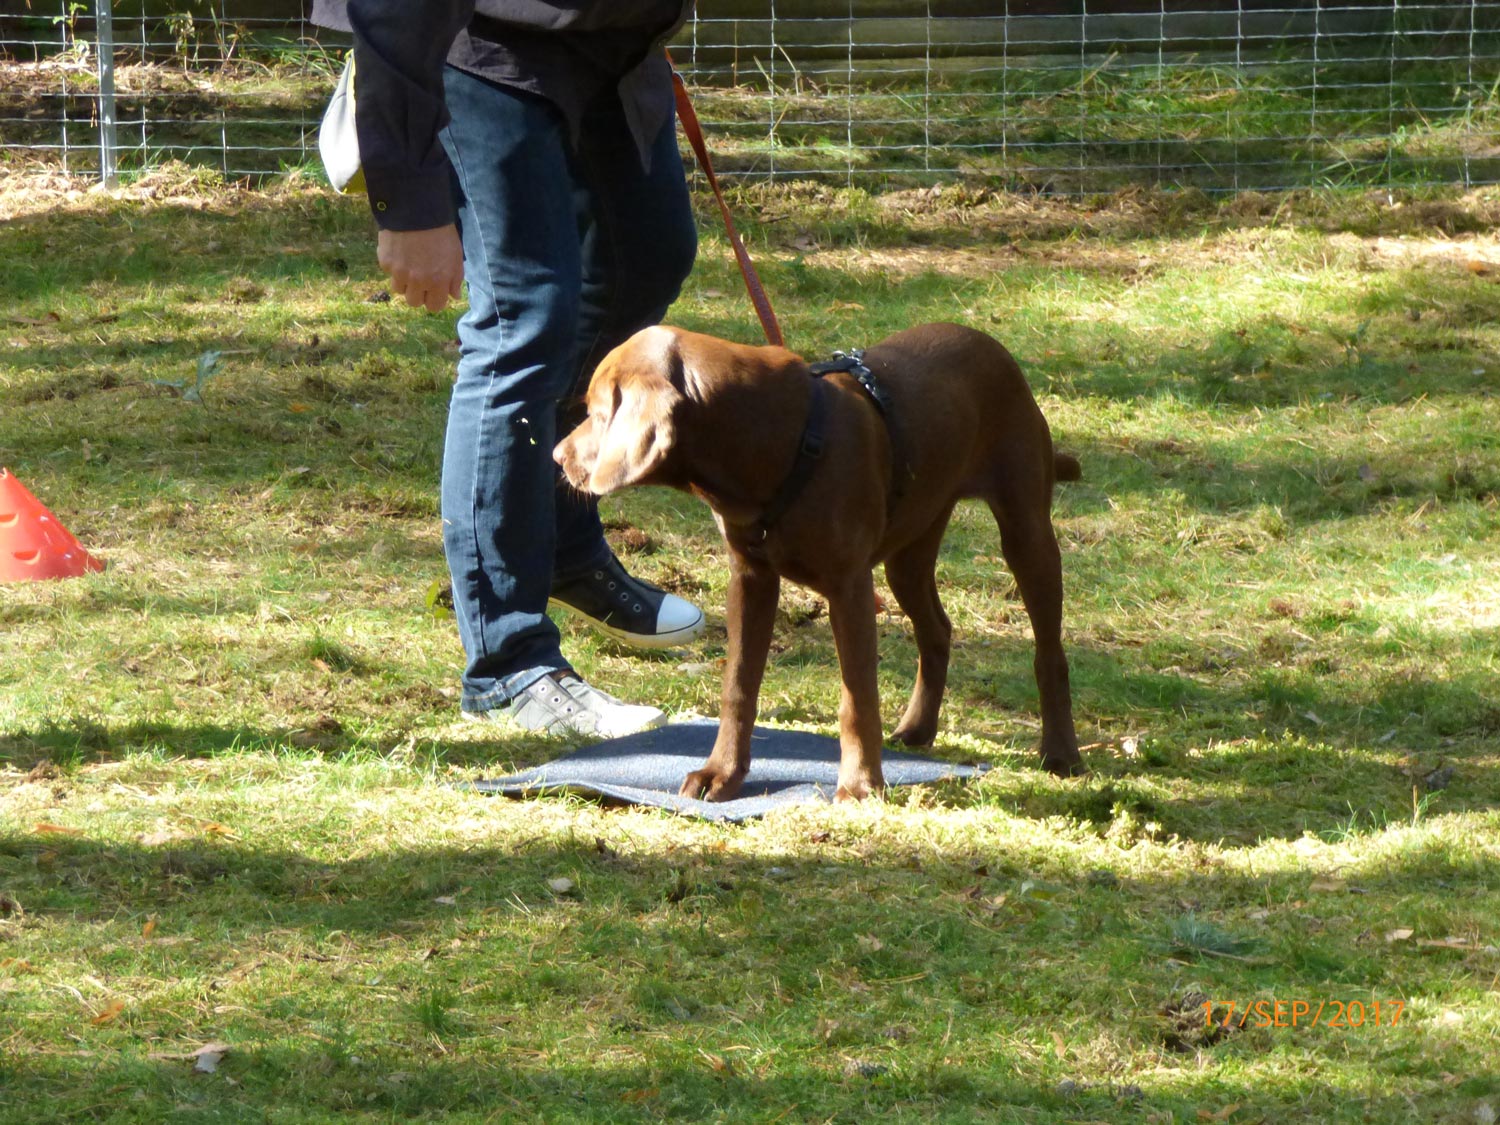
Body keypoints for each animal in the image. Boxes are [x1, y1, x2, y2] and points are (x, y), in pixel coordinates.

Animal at [558, 321, 1086, 804]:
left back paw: (1061, 753)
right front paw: (722, 774)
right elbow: (738, 686)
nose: (557, 456)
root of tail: (986, 341)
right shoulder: (750, 578)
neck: (774, 441)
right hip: (909, 552)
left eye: (600, 414)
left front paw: (861, 786)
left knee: (1049, 652)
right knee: (937, 628)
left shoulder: (849, 586)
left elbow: (857, 697)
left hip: (1025, 531)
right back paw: (917, 729)